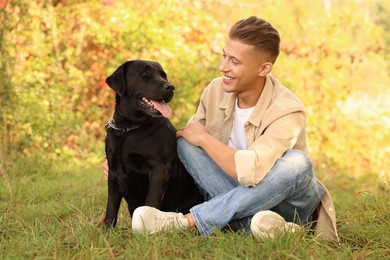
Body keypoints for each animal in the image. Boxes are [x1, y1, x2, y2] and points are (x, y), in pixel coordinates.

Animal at [102, 60, 204, 226]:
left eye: (163, 75)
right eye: (145, 74)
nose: (170, 87)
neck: (129, 130)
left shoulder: (158, 170)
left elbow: (150, 201)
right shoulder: (113, 171)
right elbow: (111, 206)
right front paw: (107, 229)